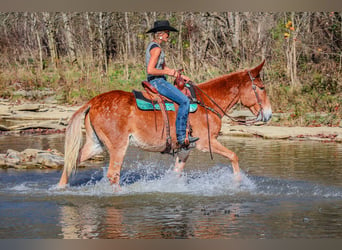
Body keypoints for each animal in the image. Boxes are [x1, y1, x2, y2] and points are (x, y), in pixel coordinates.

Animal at [58, 61, 272, 188]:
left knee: (71, 163)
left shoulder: (185, 149)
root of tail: (93, 101)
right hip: (118, 146)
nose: (269, 114)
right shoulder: (207, 143)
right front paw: (238, 183)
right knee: (113, 175)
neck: (206, 103)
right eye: (261, 88)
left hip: (96, 144)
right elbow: (234, 156)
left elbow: (177, 174)